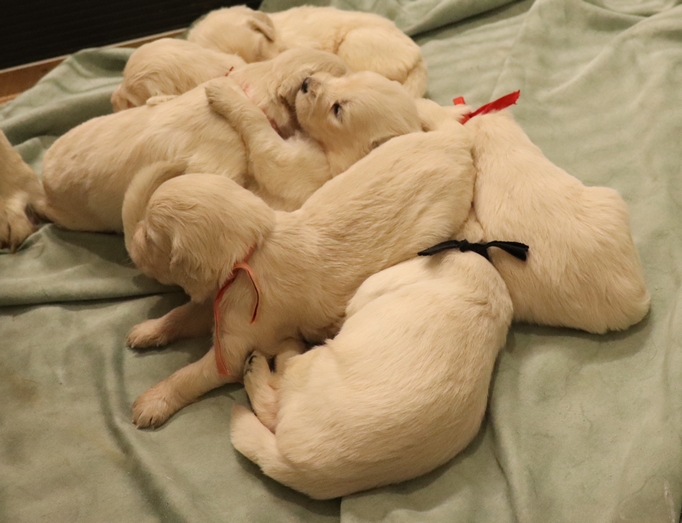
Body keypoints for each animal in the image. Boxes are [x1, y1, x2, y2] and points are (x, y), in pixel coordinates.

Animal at [125, 122, 476, 429]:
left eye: (150, 237)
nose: (134, 242)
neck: (254, 248)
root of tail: (457, 142)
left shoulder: (238, 337)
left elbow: (192, 375)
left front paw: (153, 401)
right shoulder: (220, 300)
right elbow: (182, 314)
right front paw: (148, 330)